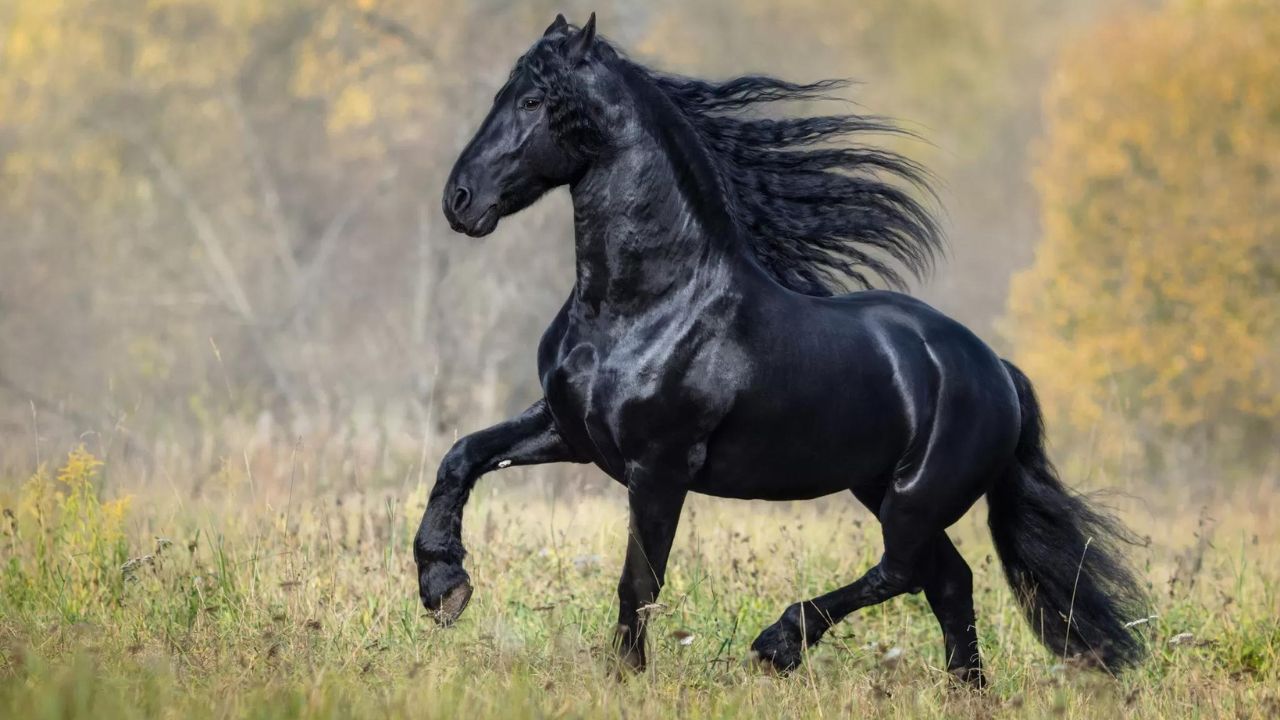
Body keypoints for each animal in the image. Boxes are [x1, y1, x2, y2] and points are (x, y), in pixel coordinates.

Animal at [414, 12, 1146, 681]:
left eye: (534, 101)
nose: (458, 199)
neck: (643, 304)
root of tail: (999, 370)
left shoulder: (660, 467)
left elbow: (640, 580)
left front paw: (626, 676)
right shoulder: (570, 431)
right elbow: (462, 457)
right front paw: (443, 586)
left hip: (914, 497)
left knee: (906, 569)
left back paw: (780, 643)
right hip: (879, 486)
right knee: (947, 580)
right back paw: (964, 690)